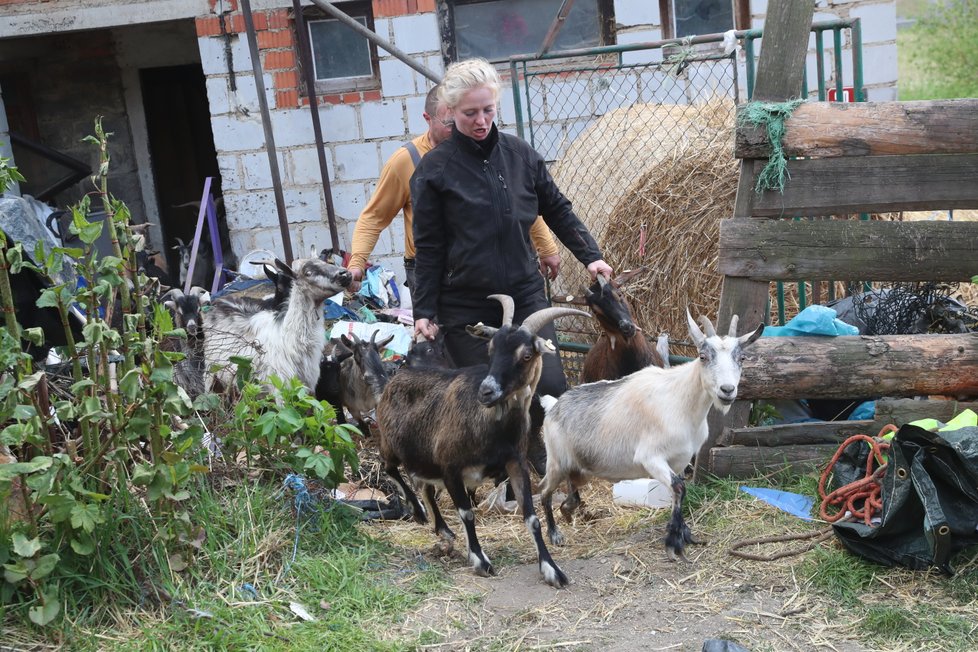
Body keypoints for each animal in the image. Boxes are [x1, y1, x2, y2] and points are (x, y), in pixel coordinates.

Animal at [202, 258, 350, 392]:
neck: (288, 339)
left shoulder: (307, 387)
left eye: (323, 261)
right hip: (210, 372)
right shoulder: (279, 388)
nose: (345, 274)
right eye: (308, 273)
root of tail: (218, 302)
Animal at [376, 296, 588, 592]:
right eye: (491, 348)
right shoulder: (450, 467)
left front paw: (551, 570)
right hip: (391, 444)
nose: (486, 392)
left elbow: (531, 517)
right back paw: (418, 511)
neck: (492, 428)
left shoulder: (515, 463)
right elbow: (467, 513)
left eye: (526, 355)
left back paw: (443, 530)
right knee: (390, 469)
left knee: (425, 487)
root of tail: (396, 377)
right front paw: (480, 561)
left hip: (425, 460)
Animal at [536, 310, 760, 560]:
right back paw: (554, 534)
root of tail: (554, 405)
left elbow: (678, 491)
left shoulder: (680, 460)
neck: (681, 402)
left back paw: (567, 511)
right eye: (702, 356)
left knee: (571, 486)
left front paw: (683, 533)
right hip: (556, 461)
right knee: (544, 490)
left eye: (741, 358)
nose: (727, 390)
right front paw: (674, 541)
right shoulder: (650, 457)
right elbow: (679, 488)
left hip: (580, 466)